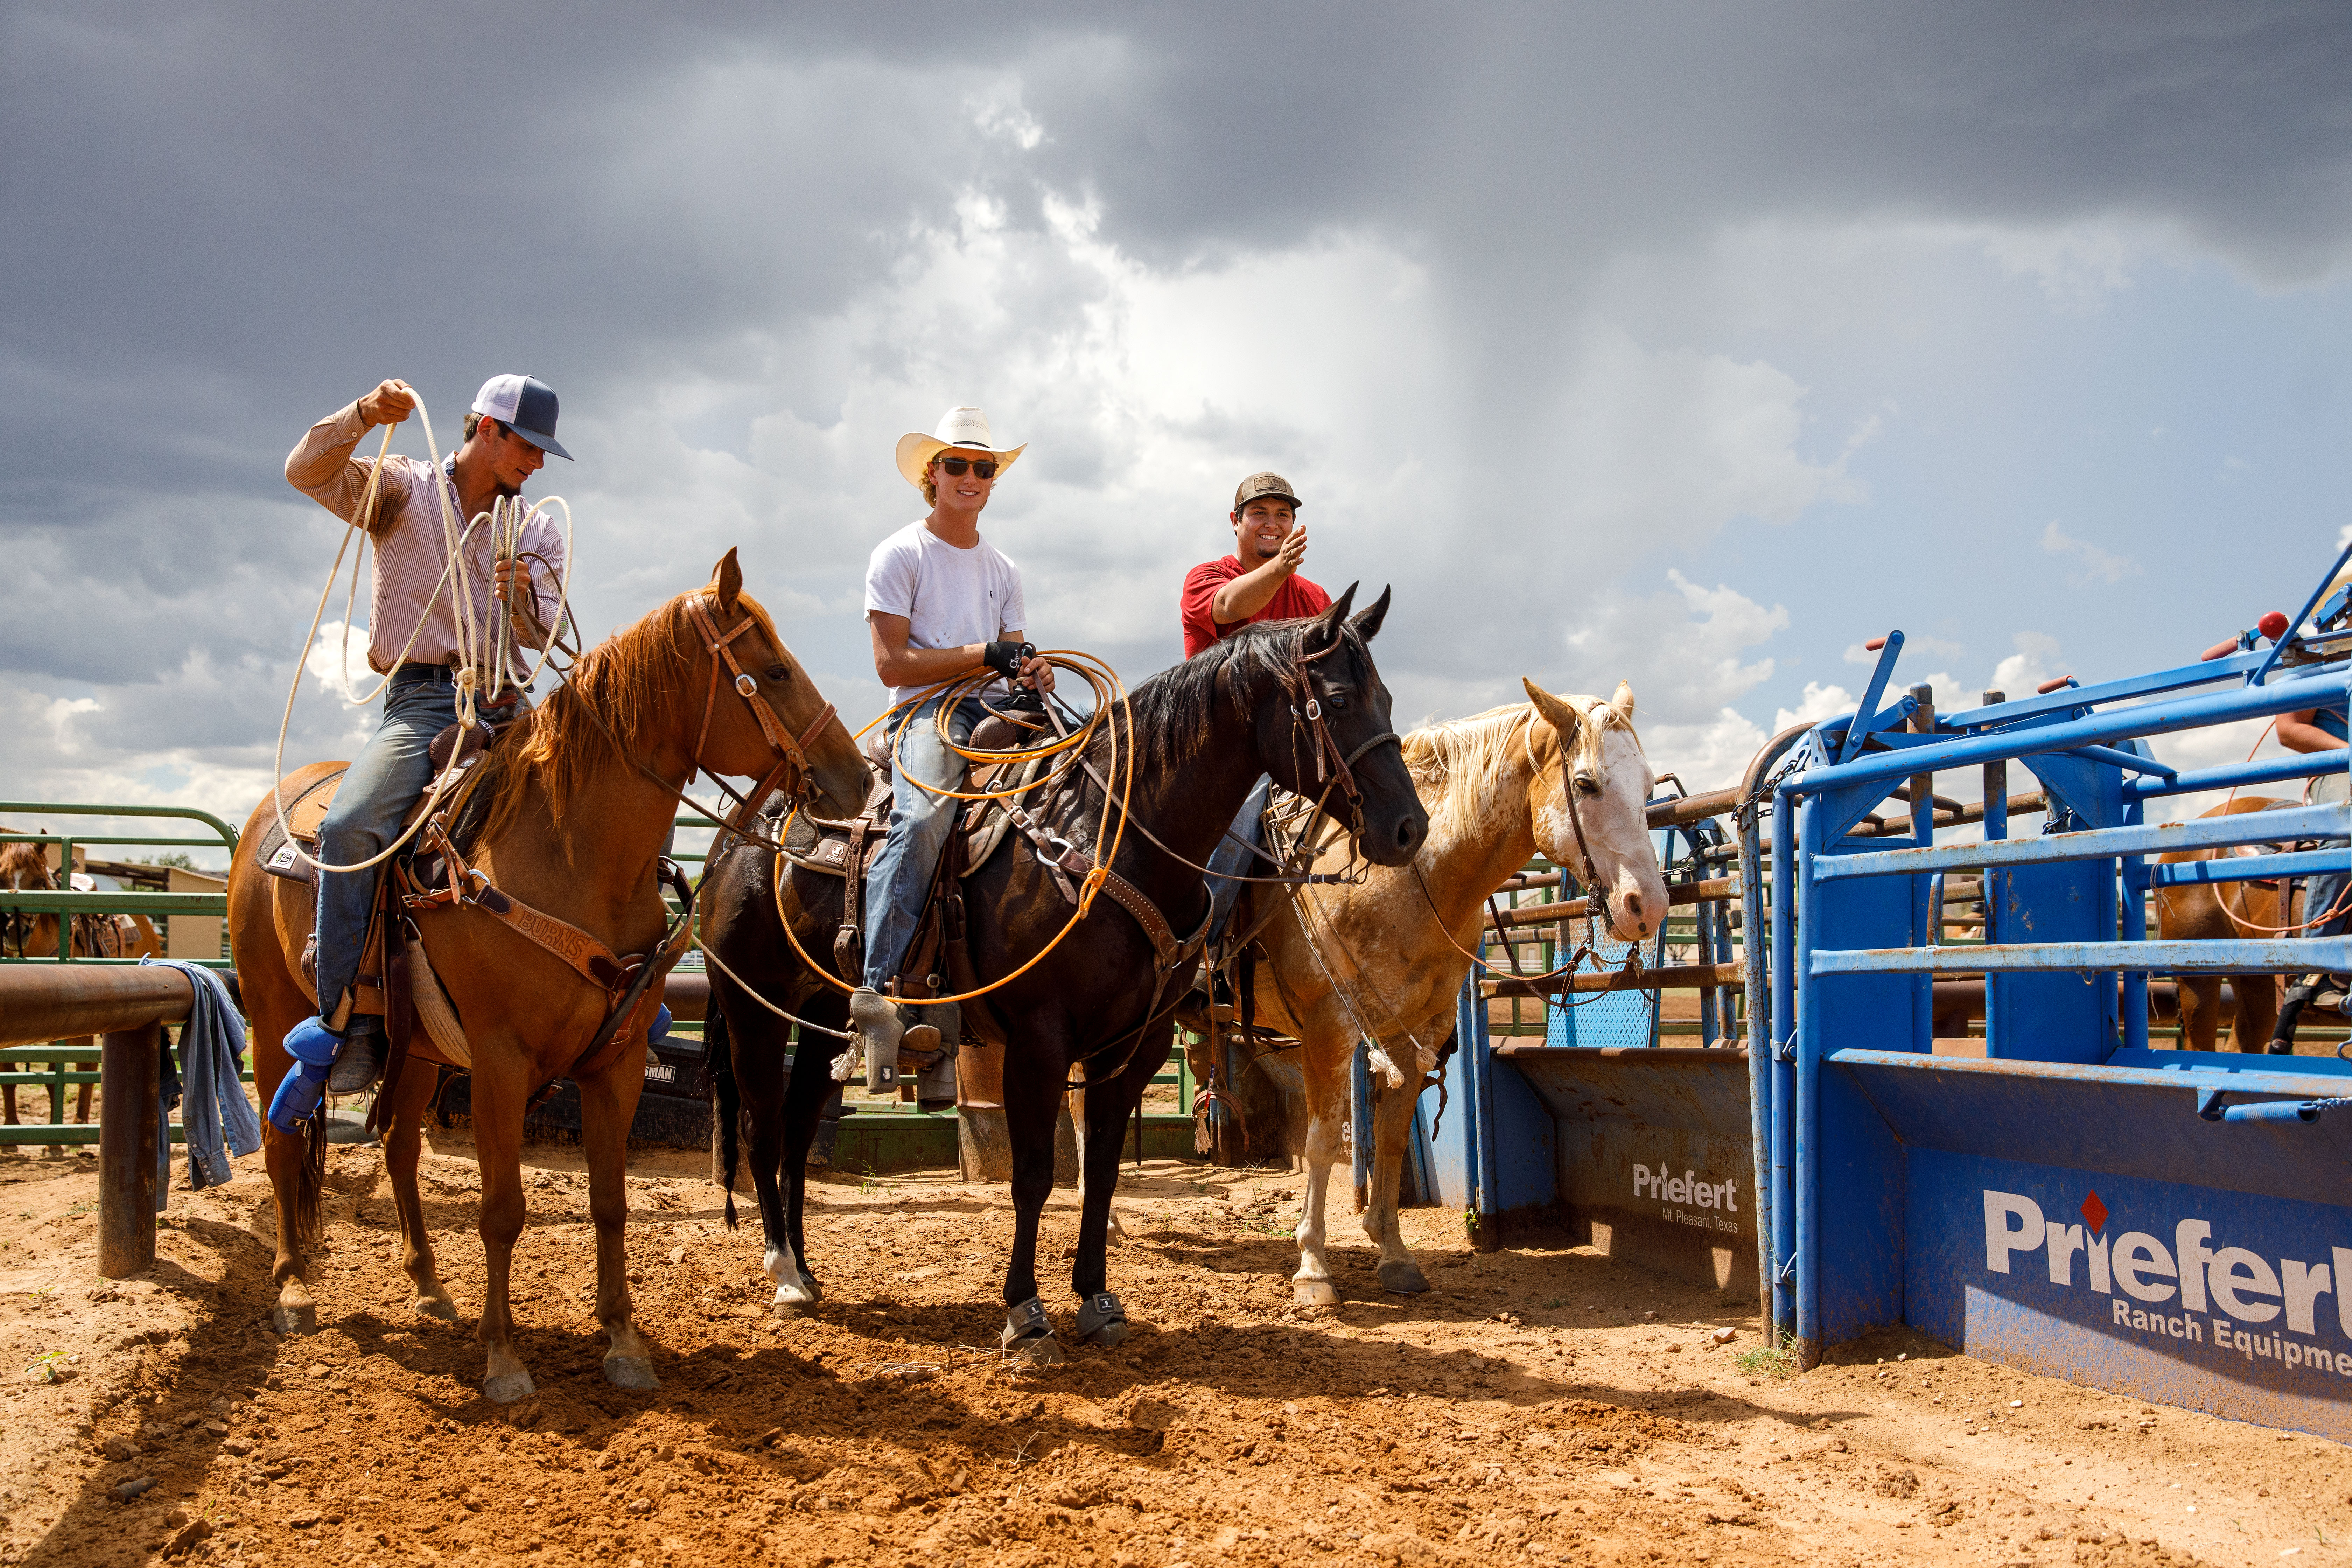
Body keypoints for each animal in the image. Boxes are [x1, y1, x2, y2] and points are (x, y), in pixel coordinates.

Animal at [1, 846, 162, 1142]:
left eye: (39, 881)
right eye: (2, 877)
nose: (15, 932)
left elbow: (56, 1070)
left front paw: (53, 1144)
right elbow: (9, 1071)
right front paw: (12, 1128)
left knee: (86, 1065)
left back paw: (79, 1124)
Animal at [229, 552, 870, 1401]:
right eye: (774, 669)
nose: (859, 781)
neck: (571, 858)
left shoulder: (616, 1060)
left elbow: (611, 1202)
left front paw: (624, 1341)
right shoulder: (501, 1061)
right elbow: (503, 1209)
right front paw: (503, 1357)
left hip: (416, 1048)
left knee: (399, 1149)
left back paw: (429, 1286)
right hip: (272, 1017)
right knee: (281, 1143)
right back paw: (295, 1287)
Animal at [701, 588, 1430, 1363]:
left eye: (1387, 697)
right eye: (1339, 699)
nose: (1409, 828)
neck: (1110, 836)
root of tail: (738, 834)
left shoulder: (1133, 1047)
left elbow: (1103, 1173)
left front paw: (1097, 1300)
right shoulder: (1039, 1042)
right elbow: (1033, 1177)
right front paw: (1025, 1313)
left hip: (818, 1016)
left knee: (800, 1125)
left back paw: (807, 1269)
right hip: (755, 1009)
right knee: (761, 1127)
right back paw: (784, 1275)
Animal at [1242, 681, 1665, 1307]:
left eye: (1649, 787)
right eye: (1586, 783)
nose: (1650, 908)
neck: (1403, 872)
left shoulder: (1421, 1031)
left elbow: (1391, 1140)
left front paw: (1395, 1255)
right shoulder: (1329, 1029)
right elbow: (1321, 1143)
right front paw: (1314, 1267)